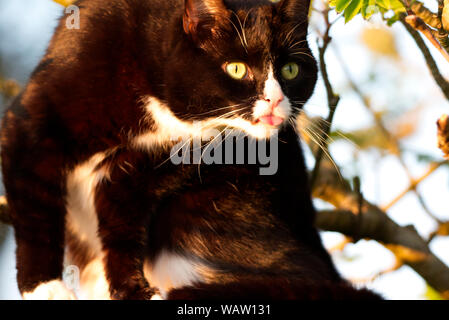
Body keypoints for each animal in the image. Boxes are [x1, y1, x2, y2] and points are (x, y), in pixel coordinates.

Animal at [0, 0, 380, 298]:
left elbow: (122, 212)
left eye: (290, 69)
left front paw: (131, 290)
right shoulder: (40, 114)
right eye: (236, 68)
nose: (274, 100)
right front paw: (44, 287)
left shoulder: (181, 158)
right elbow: (36, 205)